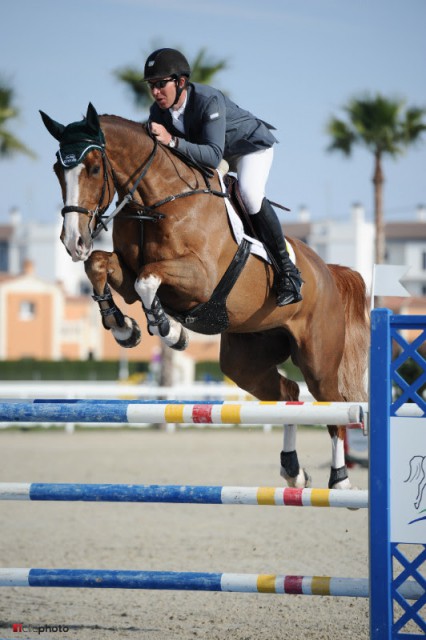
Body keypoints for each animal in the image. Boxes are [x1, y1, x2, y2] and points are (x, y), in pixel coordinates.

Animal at [41, 104, 372, 490]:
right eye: (57, 169)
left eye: (94, 168)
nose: (72, 241)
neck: (154, 201)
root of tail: (328, 271)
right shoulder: (124, 273)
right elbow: (99, 265)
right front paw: (124, 328)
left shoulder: (199, 279)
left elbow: (147, 279)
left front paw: (170, 331)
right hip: (245, 360)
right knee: (289, 393)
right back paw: (293, 472)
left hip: (318, 359)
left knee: (334, 407)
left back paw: (340, 480)